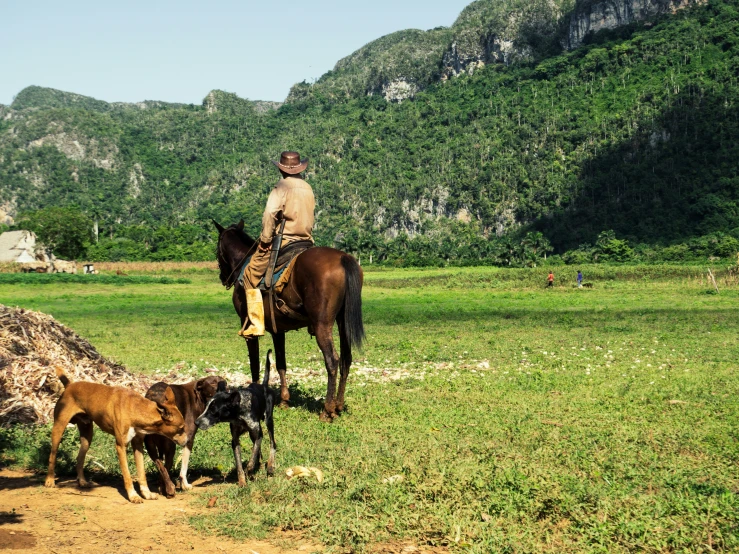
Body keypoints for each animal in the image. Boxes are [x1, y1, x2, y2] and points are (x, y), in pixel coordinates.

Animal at [44, 366, 188, 500]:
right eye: (181, 428)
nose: (187, 441)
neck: (135, 409)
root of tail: (69, 385)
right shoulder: (121, 446)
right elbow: (127, 475)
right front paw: (133, 496)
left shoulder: (138, 445)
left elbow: (142, 473)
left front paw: (146, 494)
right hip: (58, 428)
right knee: (52, 455)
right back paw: (49, 480)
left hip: (87, 436)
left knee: (80, 458)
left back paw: (82, 482)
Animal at [197, 350, 278, 484]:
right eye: (206, 406)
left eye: (213, 410)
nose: (196, 422)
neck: (239, 413)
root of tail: (264, 386)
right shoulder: (235, 440)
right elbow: (240, 463)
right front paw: (242, 482)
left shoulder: (258, 434)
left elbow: (253, 455)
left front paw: (249, 469)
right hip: (253, 433)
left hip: (268, 421)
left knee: (272, 444)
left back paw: (270, 466)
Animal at [212, 218, 366, 420]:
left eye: (217, 250)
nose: (223, 277)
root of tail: (343, 258)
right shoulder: (278, 330)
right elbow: (281, 363)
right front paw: (285, 400)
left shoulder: (249, 329)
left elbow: (254, 363)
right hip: (343, 323)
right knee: (346, 359)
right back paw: (338, 405)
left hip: (322, 325)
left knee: (332, 360)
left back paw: (327, 410)